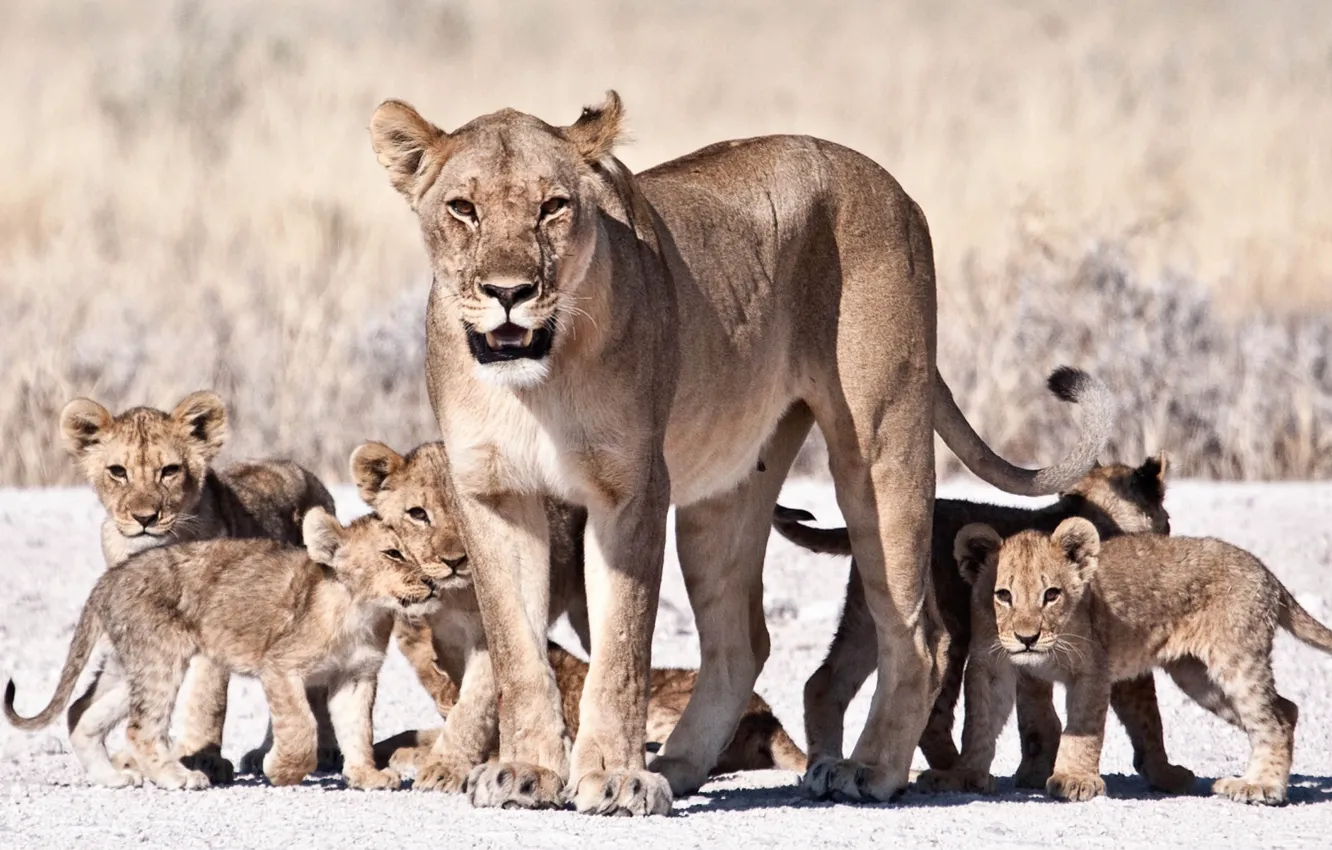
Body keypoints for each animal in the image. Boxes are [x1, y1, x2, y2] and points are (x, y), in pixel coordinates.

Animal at [4, 509, 438, 792]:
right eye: (393, 553)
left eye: (420, 552)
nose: (432, 582)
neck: (363, 611)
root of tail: (108, 578)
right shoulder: (280, 666)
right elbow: (301, 727)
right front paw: (279, 769)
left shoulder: (356, 676)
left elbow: (358, 729)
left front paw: (367, 776)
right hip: (161, 657)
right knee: (140, 728)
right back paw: (178, 778)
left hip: (128, 665)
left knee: (81, 712)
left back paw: (111, 778)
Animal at [58, 391, 339, 782]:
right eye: (117, 471)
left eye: (169, 470)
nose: (145, 518)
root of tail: (306, 473)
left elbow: (207, 698)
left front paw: (202, 758)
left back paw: (318, 752)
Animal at [368, 91, 1116, 814]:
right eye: (462, 208)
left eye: (553, 207)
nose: (509, 293)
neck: (535, 382)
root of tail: (891, 187)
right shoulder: (493, 494)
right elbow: (516, 651)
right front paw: (528, 773)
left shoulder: (631, 491)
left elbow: (621, 648)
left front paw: (613, 778)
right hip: (724, 496)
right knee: (741, 643)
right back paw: (678, 765)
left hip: (880, 449)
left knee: (918, 635)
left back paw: (867, 770)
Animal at [779, 452, 1194, 797]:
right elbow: (1147, 715)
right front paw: (1166, 774)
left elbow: (1037, 717)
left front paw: (1035, 772)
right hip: (951, 629)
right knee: (933, 711)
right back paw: (952, 772)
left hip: (870, 618)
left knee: (823, 683)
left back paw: (823, 767)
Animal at [919, 518, 1331, 806]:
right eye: (1002, 595)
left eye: (1051, 594)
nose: (1027, 638)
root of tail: (1265, 571)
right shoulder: (991, 665)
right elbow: (978, 724)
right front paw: (963, 774)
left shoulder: (1092, 669)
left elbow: (1082, 729)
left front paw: (1074, 780)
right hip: (1199, 678)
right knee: (1286, 709)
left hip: (1234, 659)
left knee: (1273, 719)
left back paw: (1260, 786)